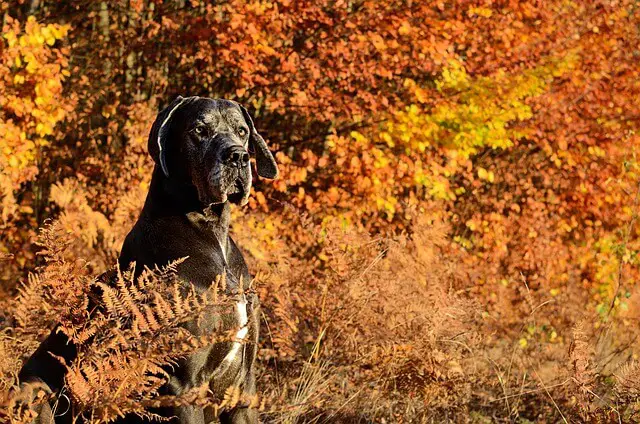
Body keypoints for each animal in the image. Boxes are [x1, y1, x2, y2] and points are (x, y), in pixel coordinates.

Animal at [16, 97, 278, 424]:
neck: (210, 231)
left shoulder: (242, 388)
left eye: (242, 130)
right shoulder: (182, 386)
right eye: (199, 130)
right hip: (33, 388)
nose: (238, 157)